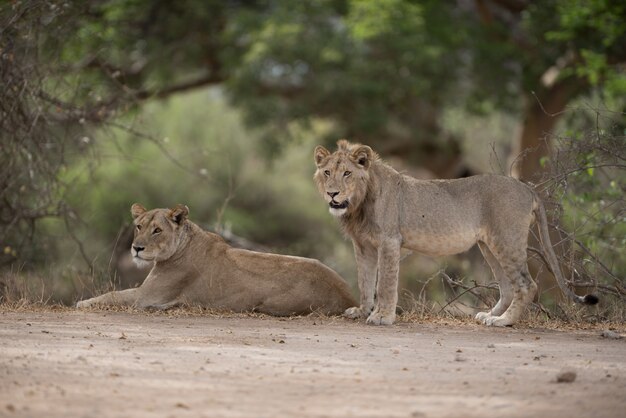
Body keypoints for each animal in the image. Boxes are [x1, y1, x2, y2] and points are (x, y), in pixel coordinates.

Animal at [312, 140, 596, 326]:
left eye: (347, 173)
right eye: (327, 172)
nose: (332, 193)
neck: (358, 205)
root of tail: (527, 188)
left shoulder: (389, 241)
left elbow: (385, 284)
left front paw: (382, 316)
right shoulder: (363, 246)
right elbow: (365, 281)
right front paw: (362, 311)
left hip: (507, 240)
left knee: (527, 285)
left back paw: (503, 321)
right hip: (489, 245)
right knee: (507, 286)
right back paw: (490, 315)